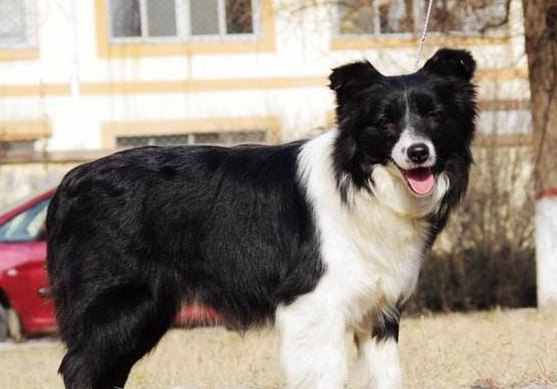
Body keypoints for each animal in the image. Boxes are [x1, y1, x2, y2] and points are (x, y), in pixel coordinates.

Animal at [45, 48, 476, 388]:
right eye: (385, 123)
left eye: (434, 116)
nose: (418, 152)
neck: (358, 180)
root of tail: (70, 180)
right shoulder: (313, 305)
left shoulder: (379, 311)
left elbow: (386, 377)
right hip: (120, 302)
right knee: (80, 367)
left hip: (148, 309)